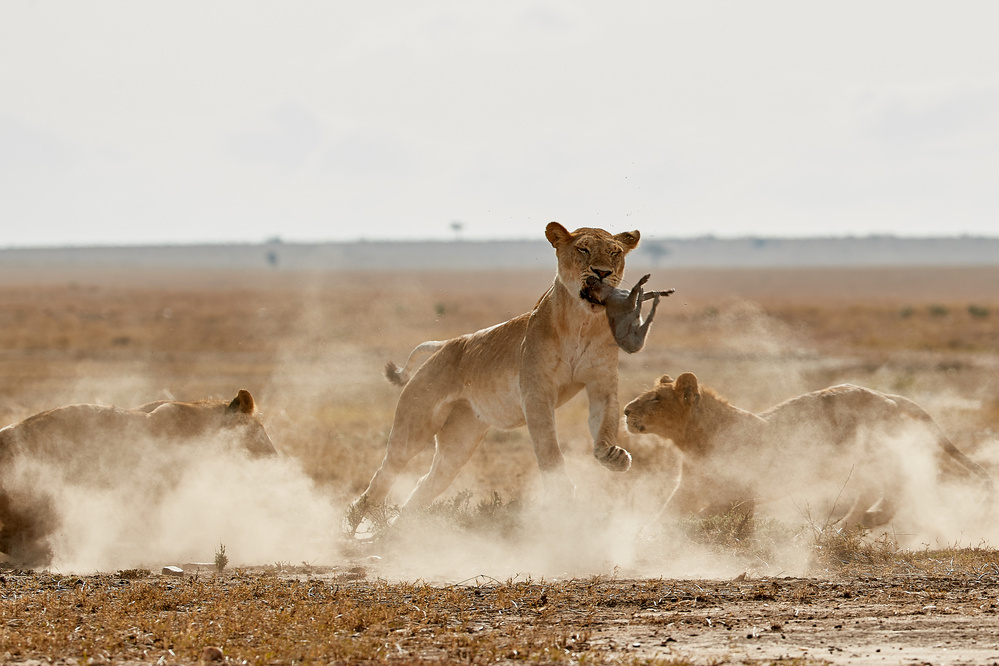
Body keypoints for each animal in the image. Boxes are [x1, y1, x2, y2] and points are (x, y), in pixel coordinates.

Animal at [350, 220, 640, 532]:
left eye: (614, 253)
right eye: (583, 249)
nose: (602, 273)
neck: (581, 322)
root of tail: (448, 344)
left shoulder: (601, 384)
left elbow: (604, 424)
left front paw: (613, 457)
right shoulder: (536, 393)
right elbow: (549, 448)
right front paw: (563, 493)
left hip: (460, 442)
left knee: (427, 482)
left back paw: (400, 531)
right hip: (413, 427)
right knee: (384, 475)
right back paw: (353, 525)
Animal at [624, 370, 992, 528]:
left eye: (655, 399)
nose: (626, 410)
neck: (693, 441)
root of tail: (883, 395)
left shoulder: (741, 492)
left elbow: (709, 518)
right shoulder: (689, 487)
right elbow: (663, 514)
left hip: (865, 455)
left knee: (889, 483)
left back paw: (852, 523)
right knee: (890, 484)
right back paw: (866, 520)